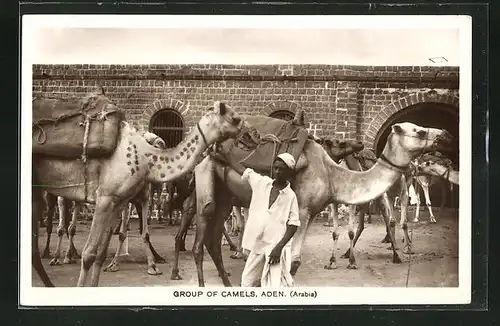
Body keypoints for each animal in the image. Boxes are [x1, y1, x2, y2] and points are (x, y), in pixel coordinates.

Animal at [31, 93, 246, 286]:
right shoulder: (104, 198)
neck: (144, 158)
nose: (249, 135)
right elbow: (89, 254)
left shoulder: (118, 201)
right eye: (235, 118)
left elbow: (101, 254)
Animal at [170, 117, 452, 286]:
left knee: (213, 238)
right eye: (420, 130)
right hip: (205, 181)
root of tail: (208, 151)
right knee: (201, 235)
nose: (447, 135)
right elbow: (292, 261)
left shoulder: (311, 212)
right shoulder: (303, 210)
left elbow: (289, 260)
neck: (331, 173)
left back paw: (228, 283)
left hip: (226, 195)